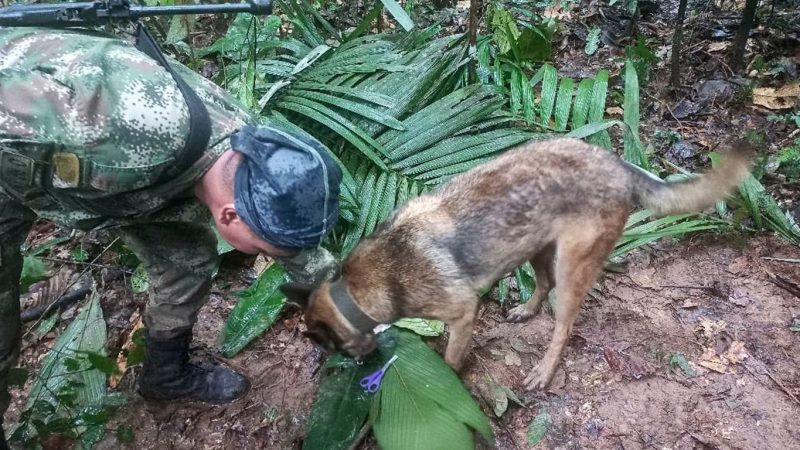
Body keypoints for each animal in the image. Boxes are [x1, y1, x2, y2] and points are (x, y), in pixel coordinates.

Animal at [280, 138, 752, 390]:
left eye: (330, 348)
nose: (361, 367)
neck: (357, 289)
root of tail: (618, 164)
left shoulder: (462, 313)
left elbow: (451, 358)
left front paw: (447, 380)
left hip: (571, 266)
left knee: (564, 324)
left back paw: (544, 369)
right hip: (536, 247)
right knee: (541, 286)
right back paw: (526, 310)